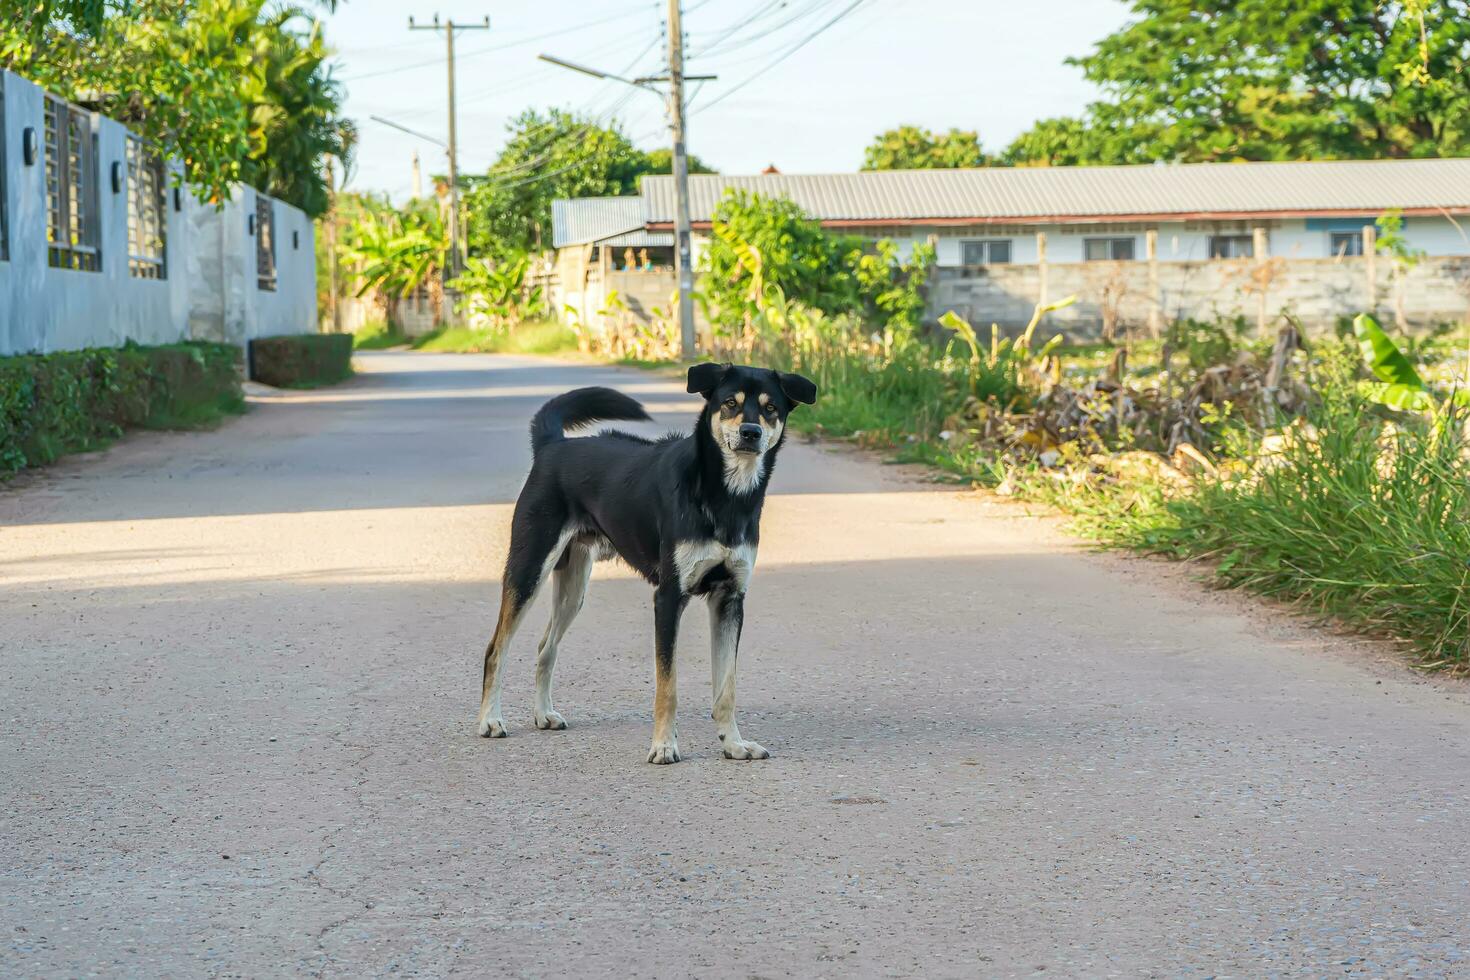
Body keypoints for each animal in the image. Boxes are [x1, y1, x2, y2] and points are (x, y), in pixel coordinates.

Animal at [476, 364, 817, 764]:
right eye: (730, 403)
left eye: (770, 408)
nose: (751, 432)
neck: (724, 496)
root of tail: (553, 445)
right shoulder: (668, 597)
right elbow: (668, 687)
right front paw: (664, 745)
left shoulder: (730, 598)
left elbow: (727, 688)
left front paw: (733, 744)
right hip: (529, 568)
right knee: (496, 649)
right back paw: (490, 721)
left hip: (574, 586)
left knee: (547, 646)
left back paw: (543, 714)